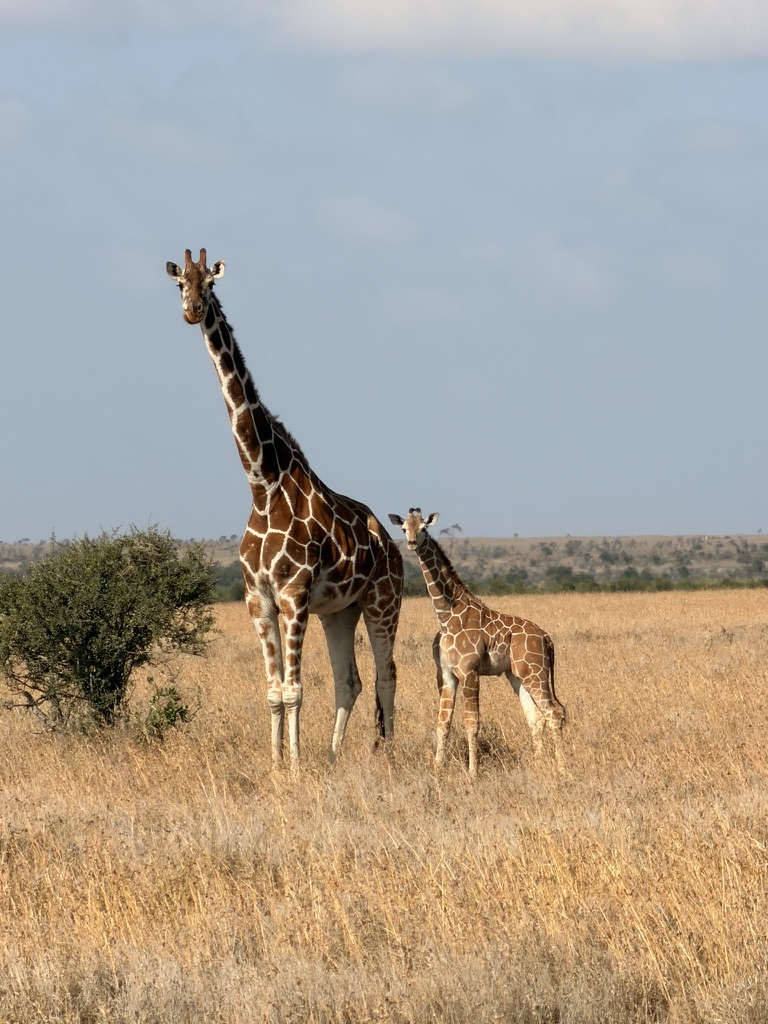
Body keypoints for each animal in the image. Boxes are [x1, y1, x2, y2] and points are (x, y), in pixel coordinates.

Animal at [166, 249, 403, 769]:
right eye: (179, 284)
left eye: (210, 283)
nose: (192, 311)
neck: (262, 484)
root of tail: (393, 545)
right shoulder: (259, 598)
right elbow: (274, 691)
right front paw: (276, 765)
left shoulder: (294, 595)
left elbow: (294, 690)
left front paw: (294, 768)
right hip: (340, 610)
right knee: (349, 681)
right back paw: (333, 755)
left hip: (383, 600)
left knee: (386, 675)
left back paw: (388, 755)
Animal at [388, 508, 564, 776]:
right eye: (404, 528)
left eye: (424, 528)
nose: (411, 542)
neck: (446, 615)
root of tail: (546, 638)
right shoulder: (446, 674)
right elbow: (442, 723)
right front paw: (438, 768)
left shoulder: (469, 671)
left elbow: (471, 723)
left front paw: (473, 773)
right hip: (517, 675)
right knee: (536, 717)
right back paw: (538, 764)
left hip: (536, 672)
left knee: (554, 712)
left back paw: (564, 769)